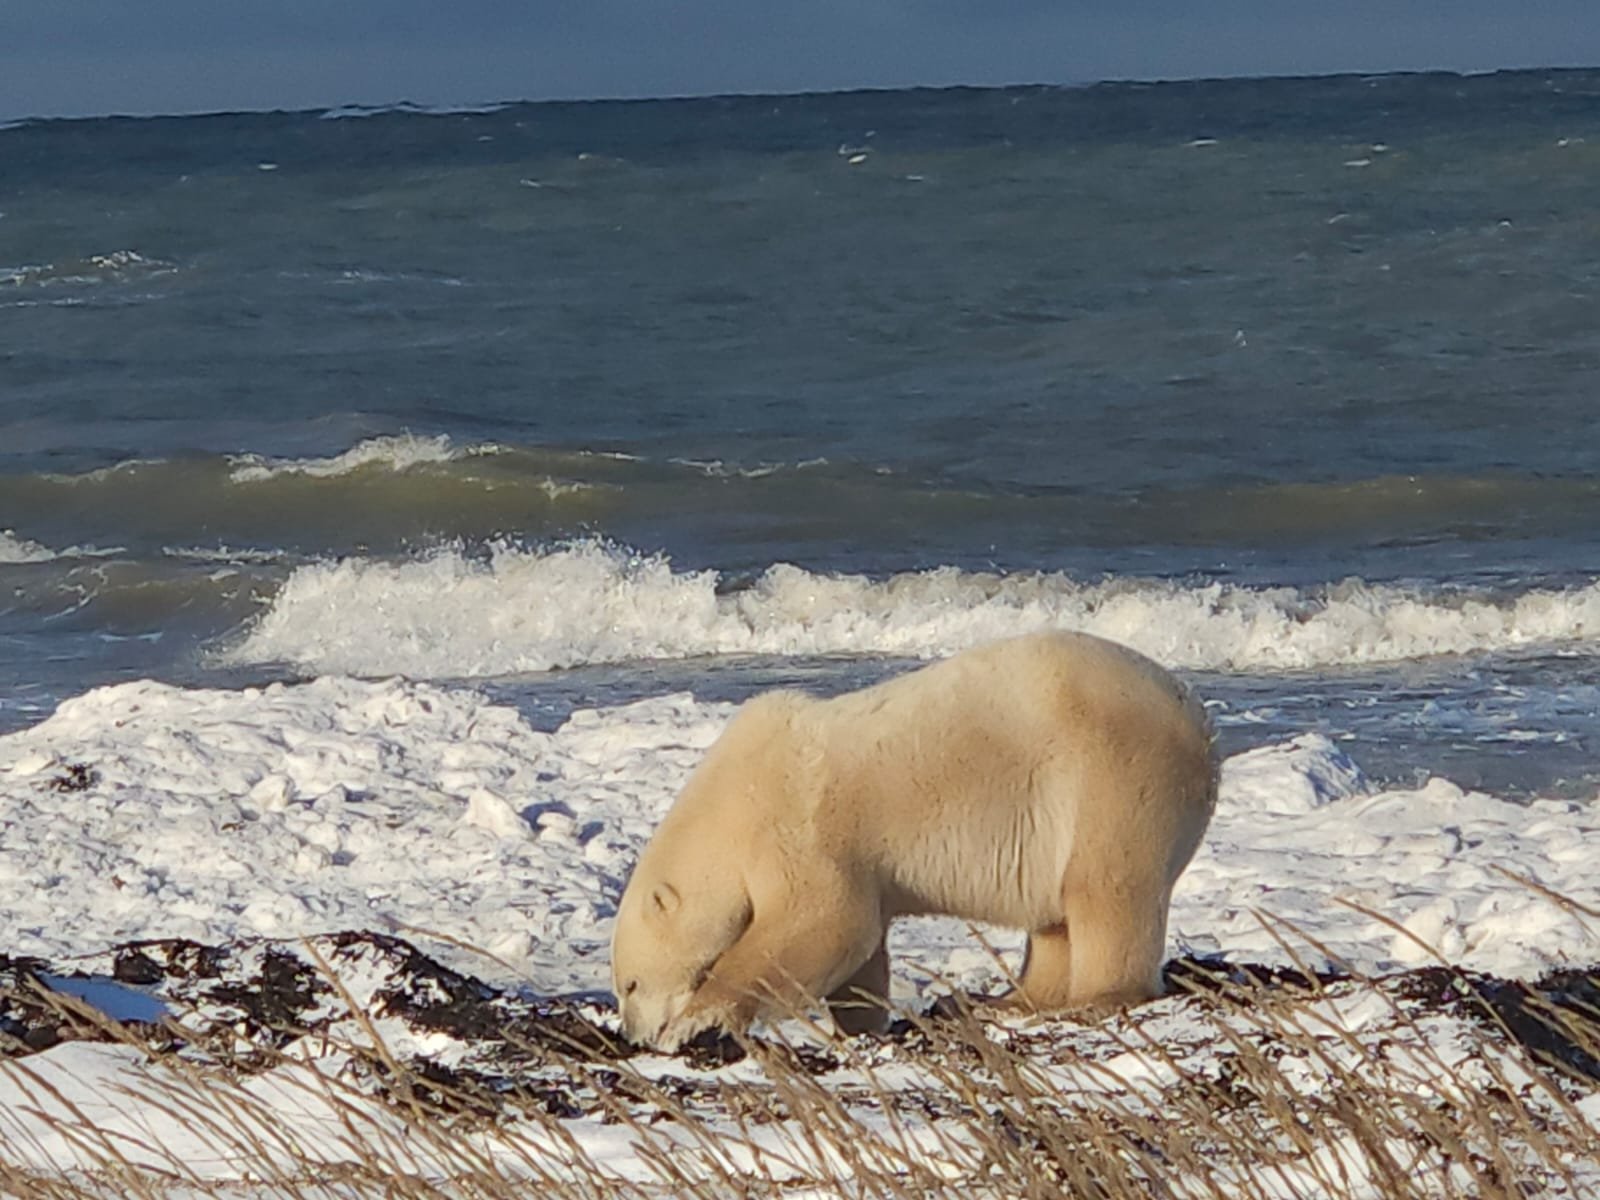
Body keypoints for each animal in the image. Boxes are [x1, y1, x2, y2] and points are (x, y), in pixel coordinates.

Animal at [610, 630, 1217, 1051]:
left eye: (631, 985)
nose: (634, 1037)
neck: (732, 802)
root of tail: (1200, 726)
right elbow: (859, 944)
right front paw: (858, 1022)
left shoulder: (798, 827)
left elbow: (821, 925)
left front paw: (696, 1021)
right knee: (1053, 915)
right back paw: (1005, 1000)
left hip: (1114, 777)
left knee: (1105, 888)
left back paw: (1085, 1000)